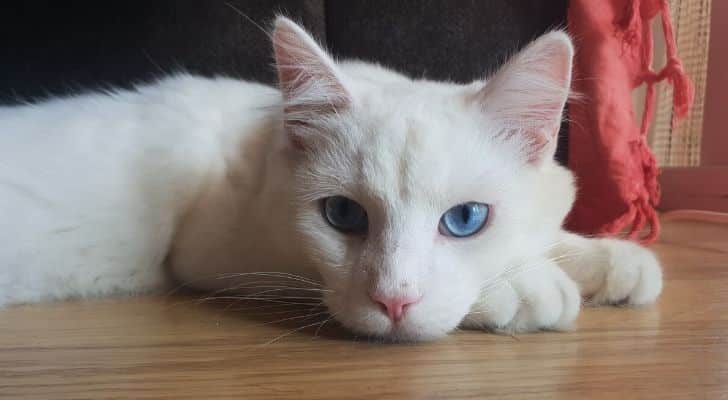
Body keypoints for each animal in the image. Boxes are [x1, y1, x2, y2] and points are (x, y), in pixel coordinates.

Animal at [0, 16, 660, 340]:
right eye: (343, 216)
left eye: (465, 220)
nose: (393, 301)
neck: (260, 137)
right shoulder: (215, 254)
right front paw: (525, 288)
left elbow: (547, 235)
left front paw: (610, 259)